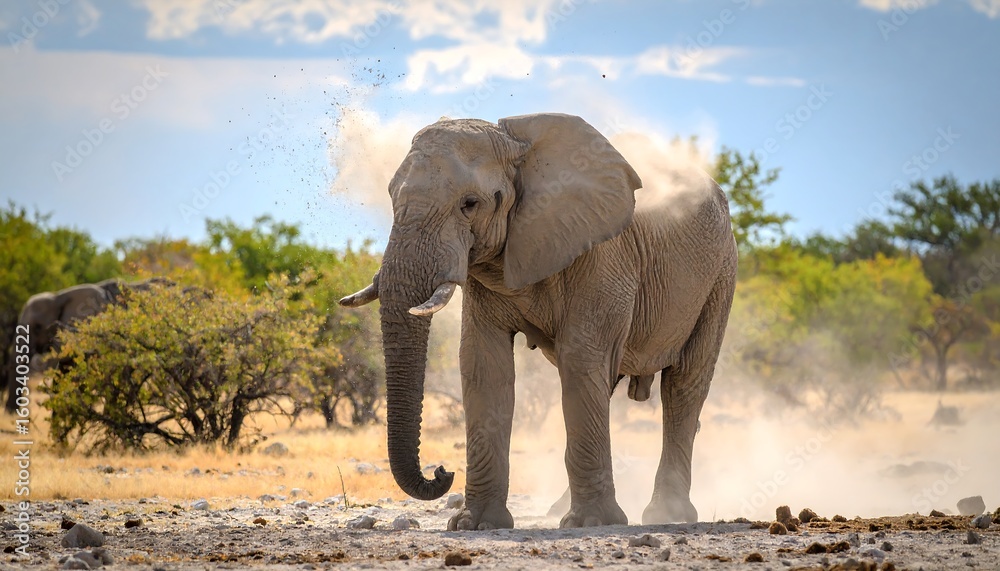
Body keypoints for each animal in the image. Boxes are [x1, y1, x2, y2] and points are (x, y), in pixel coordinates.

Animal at [340, 113, 737, 529]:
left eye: (470, 204)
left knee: (683, 385)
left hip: (721, 274)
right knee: (609, 384)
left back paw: (666, 514)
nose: (442, 471)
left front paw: (591, 524)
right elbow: (484, 364)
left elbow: (580, 358)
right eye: (390, 197)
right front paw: (475, 525)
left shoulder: (603, 253)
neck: (516, 148)